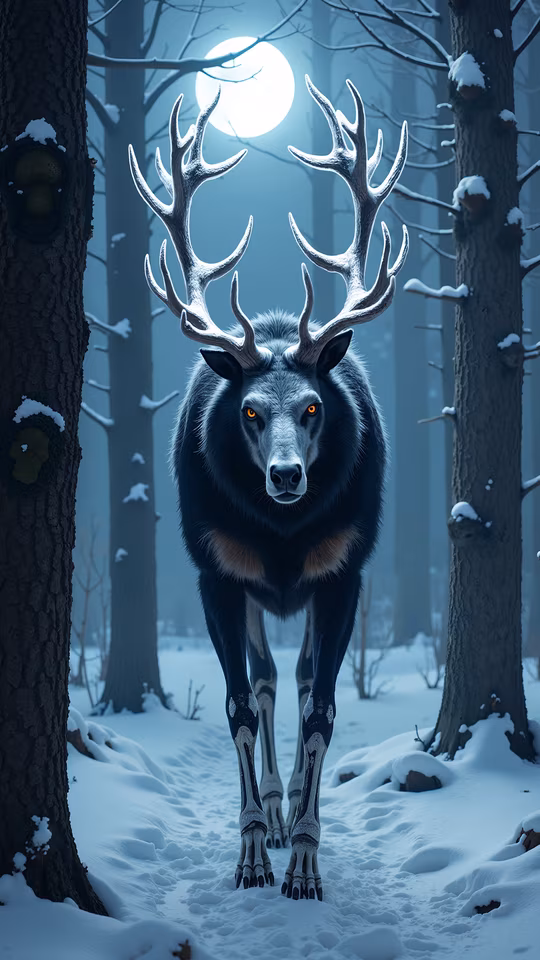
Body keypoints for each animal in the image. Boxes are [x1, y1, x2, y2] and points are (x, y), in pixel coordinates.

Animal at [128, 75, 408, 901]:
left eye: (313, 407)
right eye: (250, 410)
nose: (286, 476)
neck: (283, 542)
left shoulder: (345, 570)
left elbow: (323, 708)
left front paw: (308, 864)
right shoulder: (216, 571)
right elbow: (237, 707)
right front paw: (253, 851)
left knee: (301, 676)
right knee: (263, 680)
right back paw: (276, 816)